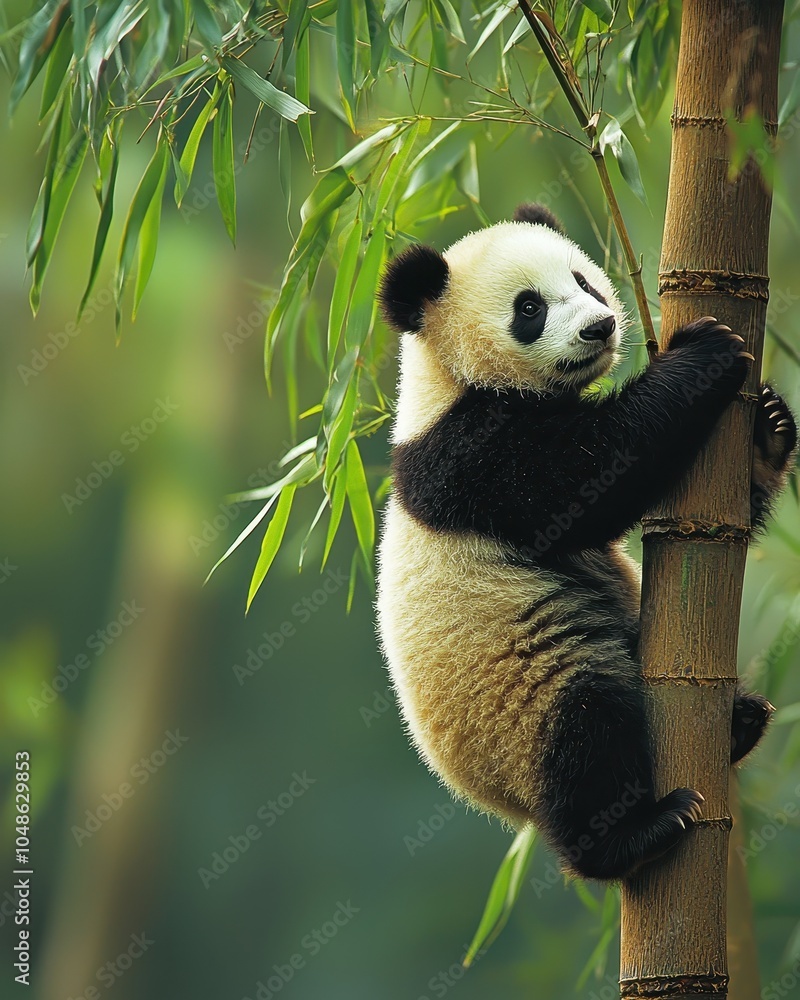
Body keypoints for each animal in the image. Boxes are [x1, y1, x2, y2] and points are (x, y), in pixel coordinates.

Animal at [375, 203, 797, 881]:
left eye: (584, 281)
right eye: (528, 307)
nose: (599, 327)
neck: (446, 378)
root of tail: (496, 800)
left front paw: (770, 430)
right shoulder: (468, 457)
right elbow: (593, 475)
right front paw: (706, 355)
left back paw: (742, 721)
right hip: (523, 697)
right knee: (585, 731)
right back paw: (635, 833)